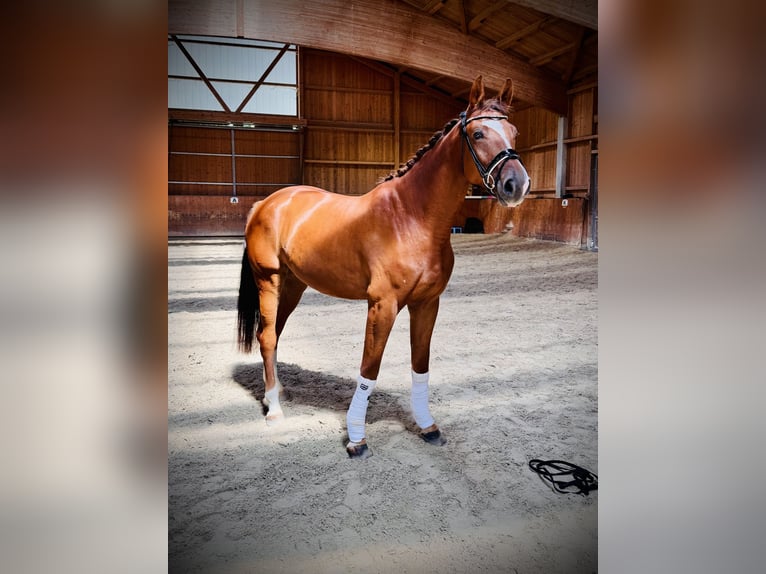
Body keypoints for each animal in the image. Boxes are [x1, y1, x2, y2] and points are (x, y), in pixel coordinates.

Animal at [237, 75, 530, 459]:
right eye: (479, 133)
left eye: (514, 131)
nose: (517, 185)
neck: (411, 218)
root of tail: (266, 203)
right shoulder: (382, 305)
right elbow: (369, 368)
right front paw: (356, 438)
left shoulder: (427, 304)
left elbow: (420, 364)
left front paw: (427, 426)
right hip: (268, 281)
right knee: (268, 335)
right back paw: (274, 408)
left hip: (293, 284)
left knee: (272, 334)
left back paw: (277, 391)